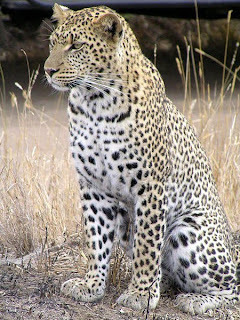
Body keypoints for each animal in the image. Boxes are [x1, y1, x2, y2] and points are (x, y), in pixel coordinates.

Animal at [44, 3, 239, 316]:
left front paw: (140, 294)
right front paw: (91, 285)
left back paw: (195, 300)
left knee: (231, 285)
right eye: (53, 44)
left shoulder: (150, 187)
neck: (93, 102)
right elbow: (95, 239)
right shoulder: (93, 186)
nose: (48, 71)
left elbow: (148, 246)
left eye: (76, 46)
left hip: (188, 232)